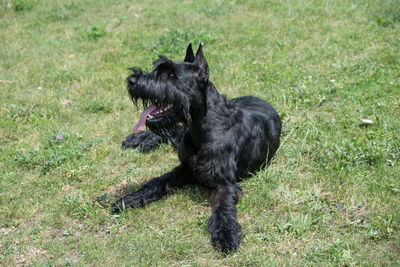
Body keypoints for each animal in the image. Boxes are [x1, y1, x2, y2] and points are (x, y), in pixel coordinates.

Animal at [112, 44, 282, 253]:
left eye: (170, 74)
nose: (132, 80)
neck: (202, 128)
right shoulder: (185, 168)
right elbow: (155, 183)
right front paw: (129, 199)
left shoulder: (225, 183)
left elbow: (223, 209)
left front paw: (226, 234)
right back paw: (138, 138)